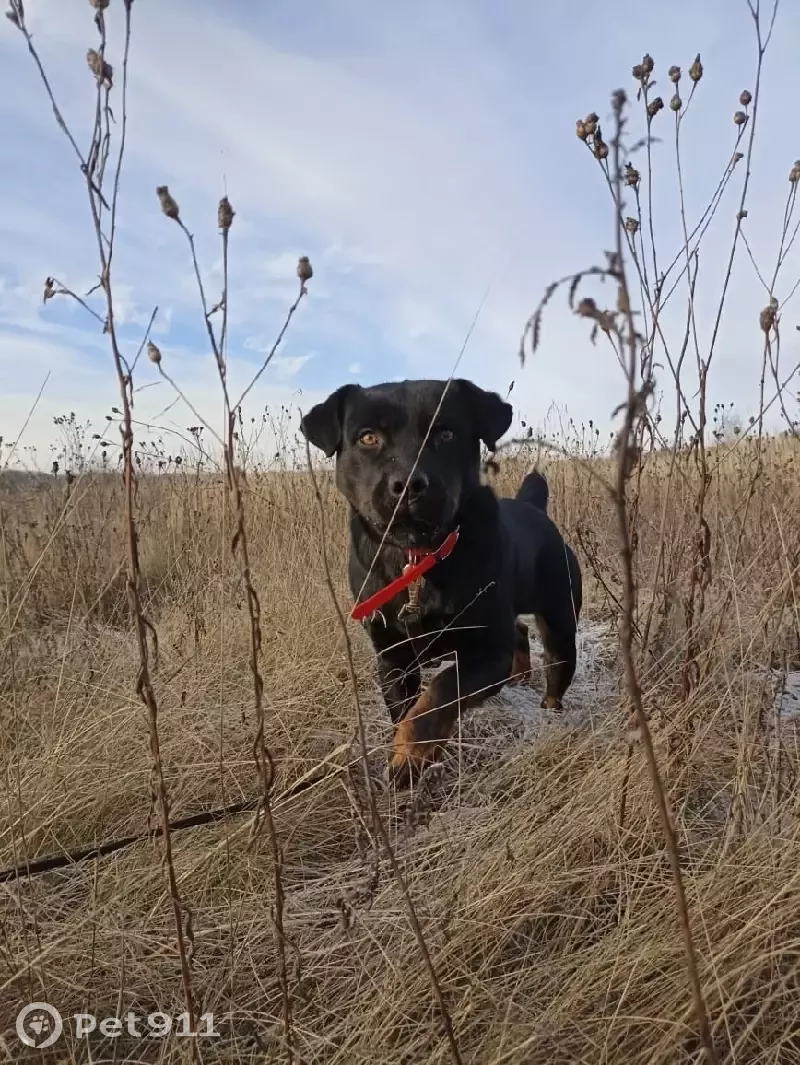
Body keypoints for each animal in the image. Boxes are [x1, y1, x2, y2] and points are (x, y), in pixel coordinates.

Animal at [300, 377, 583, 783]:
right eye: (368, 438)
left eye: (446, 434)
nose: (408, 484)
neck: (416, 558)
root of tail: (534, 507)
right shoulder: (393, 657)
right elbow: (407, 708)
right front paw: (409, 760)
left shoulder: (486, 652)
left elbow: (439, 693)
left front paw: (411, 753)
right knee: (518, 630)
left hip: (560, 619)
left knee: (556, 668)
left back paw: (550, 713)